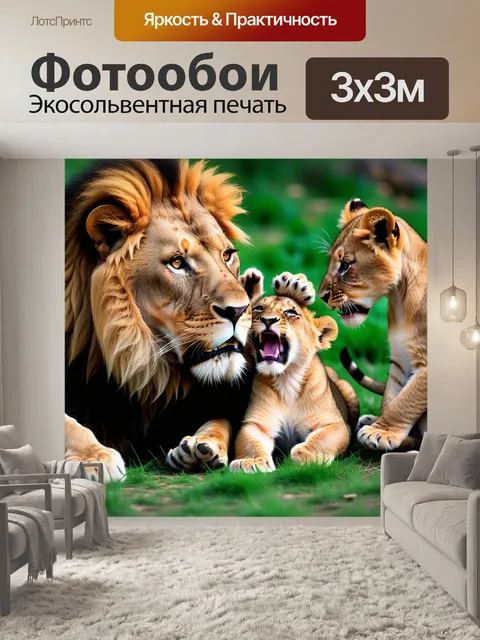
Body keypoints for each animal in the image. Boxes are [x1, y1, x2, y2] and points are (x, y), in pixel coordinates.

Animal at [65, 159, 257, 480]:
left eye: (228, 255)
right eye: (177, 263)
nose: (239, 310)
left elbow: (224, 418)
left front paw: (203, 445)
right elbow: (65, 421)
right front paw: (93, 456)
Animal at [230, 270, 359, 472]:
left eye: (291, 312)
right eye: (258, 309)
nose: (268, 320)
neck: (287, 380)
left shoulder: (335, 423)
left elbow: (322, 439)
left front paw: (307, 456)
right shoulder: (256, 424)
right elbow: (248, 442)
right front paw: (252, 462)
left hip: (346, 387)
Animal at [318, 198, 427, 452]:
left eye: (345, 265)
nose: (321, 296)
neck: (400, 300)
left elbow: (407, 400)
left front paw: (380, 432)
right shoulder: (399, 358)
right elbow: (391, 398)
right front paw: (381, 428)